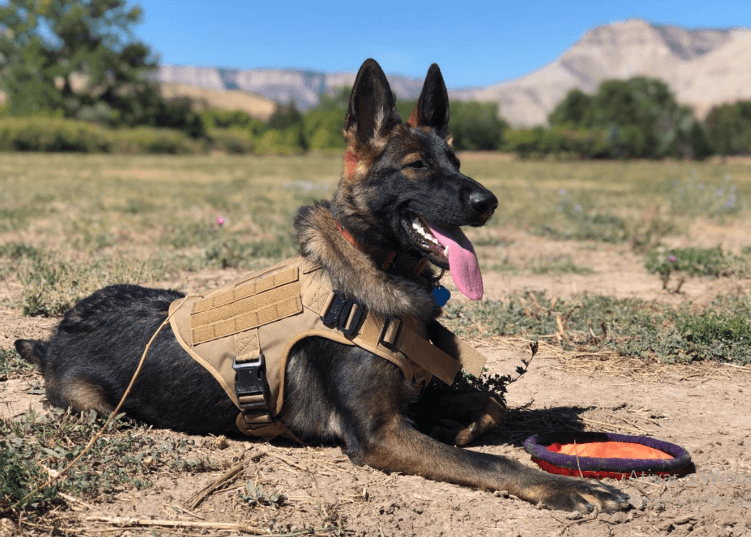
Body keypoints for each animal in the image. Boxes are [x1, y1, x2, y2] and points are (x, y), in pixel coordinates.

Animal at [16, 58, 628, 510]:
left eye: (455, 160)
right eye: (416, 166)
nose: (488, 201)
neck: (377, 268)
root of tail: (54, 337)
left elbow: (490, 403)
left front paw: (458, 424)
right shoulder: (379, 434)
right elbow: (491, 459)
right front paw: (562, 486)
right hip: (96, 407)